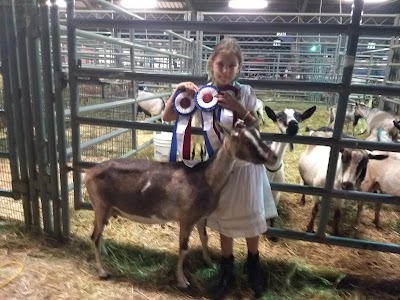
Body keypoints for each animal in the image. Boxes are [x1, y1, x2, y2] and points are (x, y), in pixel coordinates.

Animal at [78, 120, 278, 290]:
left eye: (258, 134)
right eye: (243, 139)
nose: (273, 157)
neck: (205, 178)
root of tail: (88, 173)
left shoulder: (201, 217)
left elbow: (204, 238)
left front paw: (210, 262)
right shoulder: (186, 218)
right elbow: (183, 248)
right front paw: (183, 281)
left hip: (105, 209)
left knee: (99, 231)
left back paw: (105, 252)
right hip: (100, 205)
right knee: (94, 236)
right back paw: (103, 272)